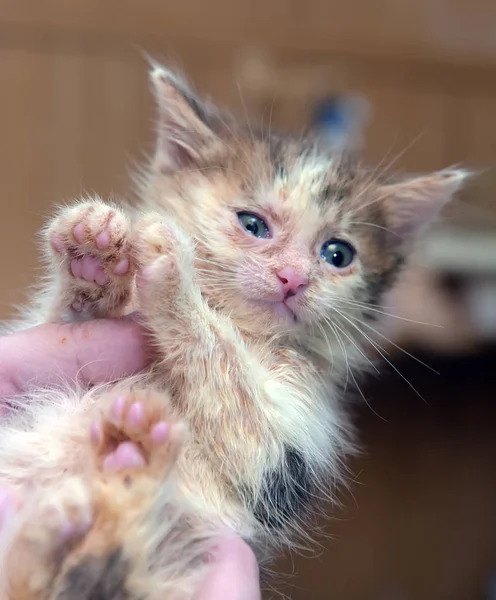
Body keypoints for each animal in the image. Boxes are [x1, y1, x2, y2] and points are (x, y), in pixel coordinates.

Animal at [0, 63, 466, 596]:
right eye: (253, 223)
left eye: (338, 254)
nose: (293, 278)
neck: (246, 331)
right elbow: (60, 323)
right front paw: (92, 254)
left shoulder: (283, 461)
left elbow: (239, 404)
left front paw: (175, 281)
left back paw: (123, 470)